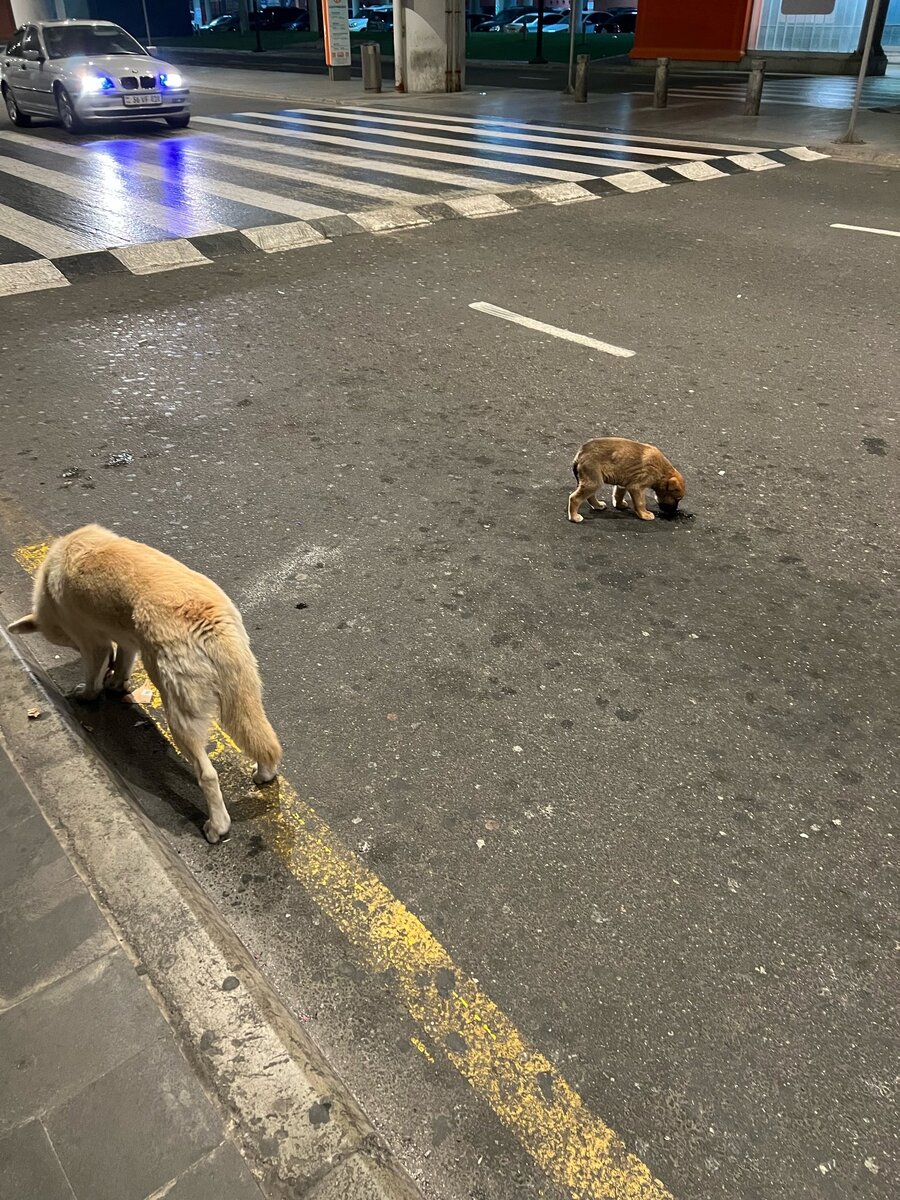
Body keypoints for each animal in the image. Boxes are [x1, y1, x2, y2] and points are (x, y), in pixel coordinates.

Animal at [7, 525, 280, 844]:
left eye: (65, 639)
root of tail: (208, 622)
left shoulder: (92, 642)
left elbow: (94, 673)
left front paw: (88, 693)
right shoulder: (125, 639)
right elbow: (123, 659)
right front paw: (116, 682)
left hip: (180, 716)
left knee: (207, 775)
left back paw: (217, 825)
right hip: (244, 691)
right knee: (264, 739)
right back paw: (264, 772)